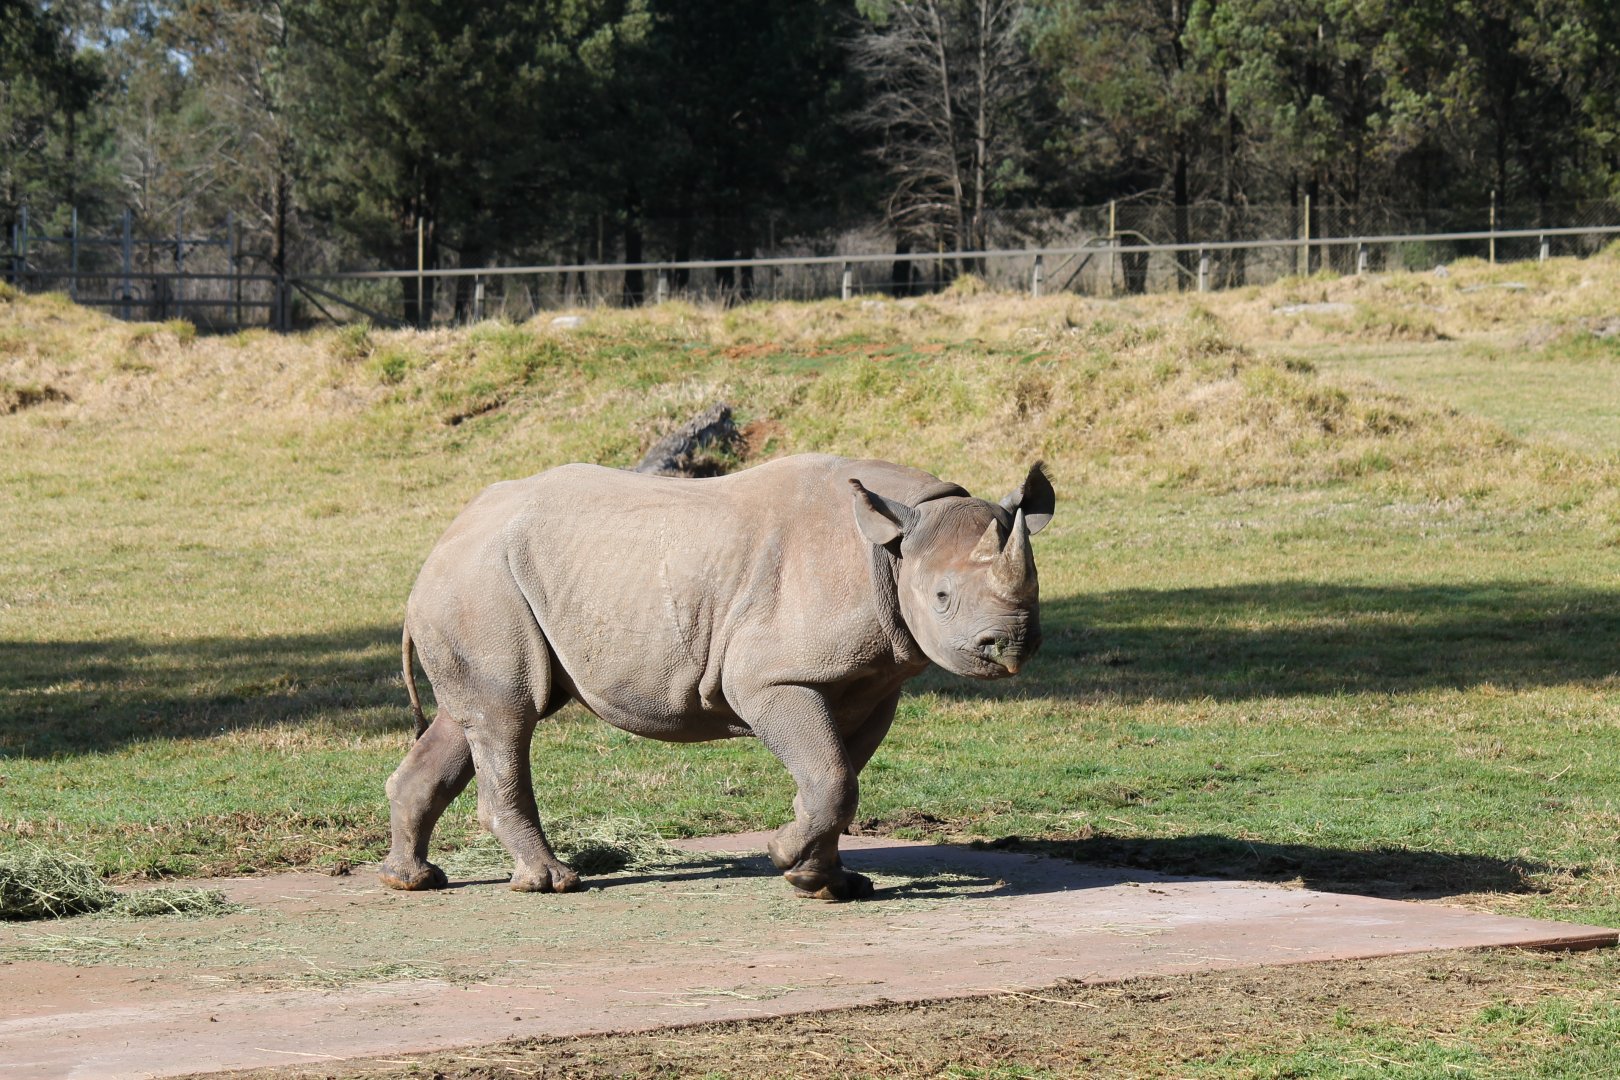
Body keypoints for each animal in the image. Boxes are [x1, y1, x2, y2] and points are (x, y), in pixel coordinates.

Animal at [382, 453, 1054, 900]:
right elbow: (833, 779)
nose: (1010, 646)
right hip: (481, 581)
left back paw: (411, 880)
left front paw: (829, 881)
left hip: (486, 579)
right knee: (509, 715)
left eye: (1037, 588)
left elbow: (834, 778)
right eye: (941, 597)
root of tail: (441, 541)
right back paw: (552, 883)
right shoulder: (772, 679)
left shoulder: (872, 684)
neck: (892, 544)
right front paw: (787, 858)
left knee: (473, 718)